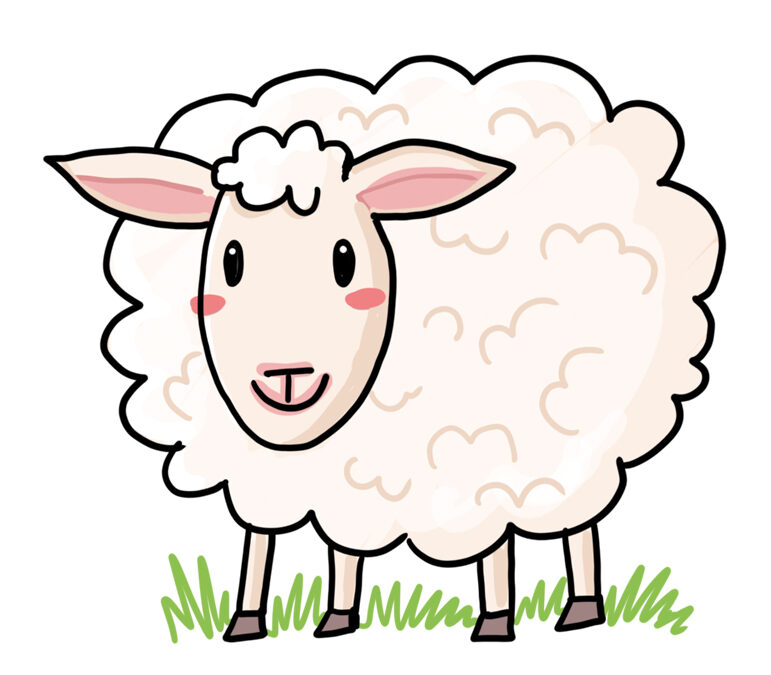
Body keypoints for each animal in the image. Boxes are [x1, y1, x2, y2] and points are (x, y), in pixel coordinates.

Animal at [47, 56, 723, 642]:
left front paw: (494, 621)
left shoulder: (474, 459)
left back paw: (576, 609)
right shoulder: (280, 473)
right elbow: (290, 544)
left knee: (573, 522)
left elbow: (492, 546)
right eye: (230, 260)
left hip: (574, 435)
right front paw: (287, 619)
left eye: (345, 258)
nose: (286, 375)